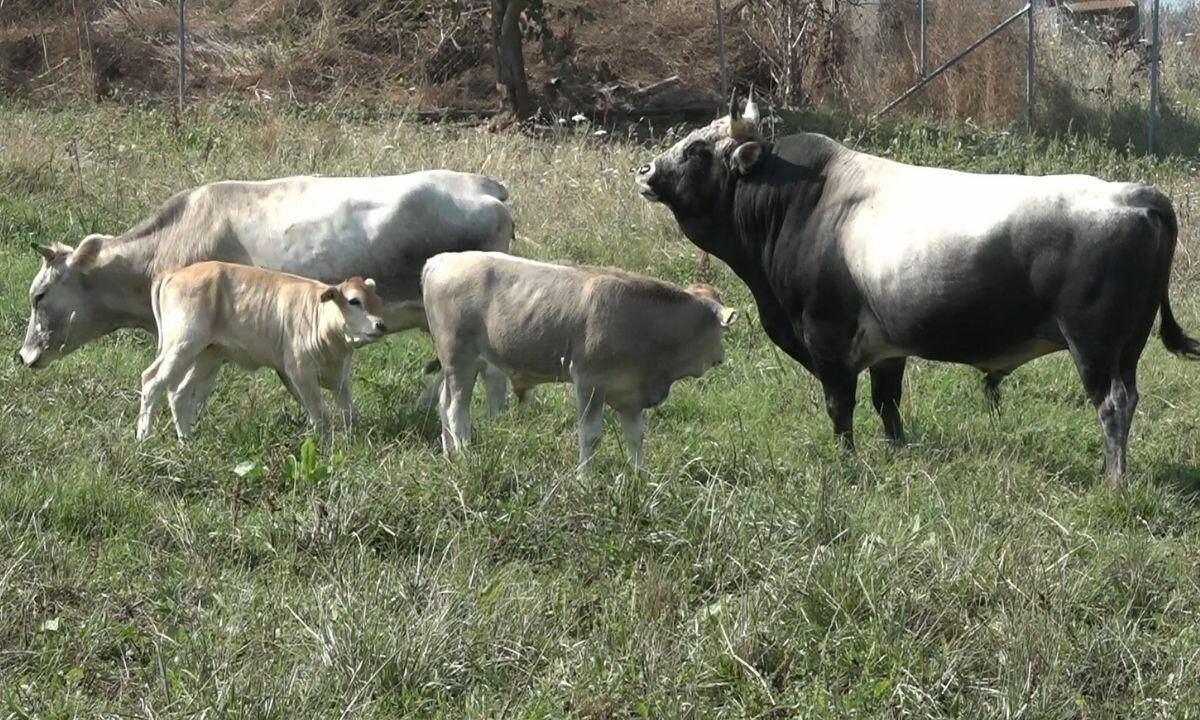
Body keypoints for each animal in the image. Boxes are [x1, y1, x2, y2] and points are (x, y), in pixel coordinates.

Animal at [138, 259, 386, 439]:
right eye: (354, 301)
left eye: (376, 299)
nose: (381, 325)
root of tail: (176, 272)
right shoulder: (300, 372)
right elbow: (320, 413)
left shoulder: (341, 377)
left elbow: (349, 413)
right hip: (183, 343)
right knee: (152, 381)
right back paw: (144, 437)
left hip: (208, 354)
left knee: (179, 393)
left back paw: (186, 439)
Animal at [422, 250, 739, 470]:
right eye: (721, 332)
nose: (721, 357)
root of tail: (443, 259)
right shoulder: (590, 380)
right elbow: (590, 435)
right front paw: (584, 478)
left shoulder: (630, 391)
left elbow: (635, 436)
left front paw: (641, 476)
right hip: (460, 359)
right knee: (456, 411)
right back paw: (465, 456)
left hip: (461, 365)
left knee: (443, 402)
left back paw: (450, 454)